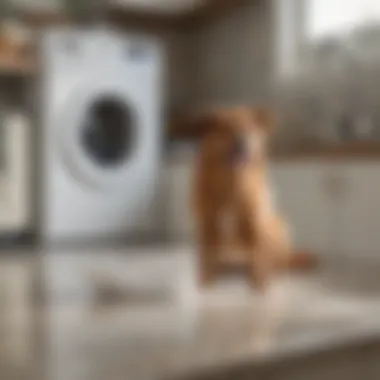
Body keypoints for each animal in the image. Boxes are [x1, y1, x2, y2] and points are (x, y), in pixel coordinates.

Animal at [181, 105, 314, 290]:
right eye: (226, 127)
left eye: (249, 127)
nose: (241, 141)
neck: (232, 182)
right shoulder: (208, 222)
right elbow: (207, 255)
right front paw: (206, 279)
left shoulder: (255, 220)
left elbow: (260, 255)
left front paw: (258, 283)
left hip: (278, 224)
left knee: (276, 260)